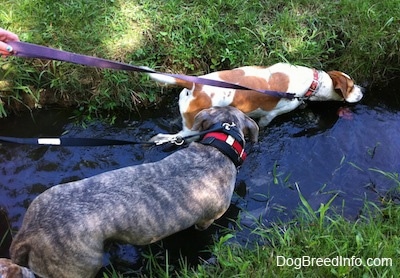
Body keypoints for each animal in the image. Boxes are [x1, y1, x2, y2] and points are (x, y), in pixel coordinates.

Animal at [149, 63, 362, 141]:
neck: (311, 82)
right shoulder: (269, 117)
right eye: (351, 86)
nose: (363, 91)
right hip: (192, 129)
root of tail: (195, 84)